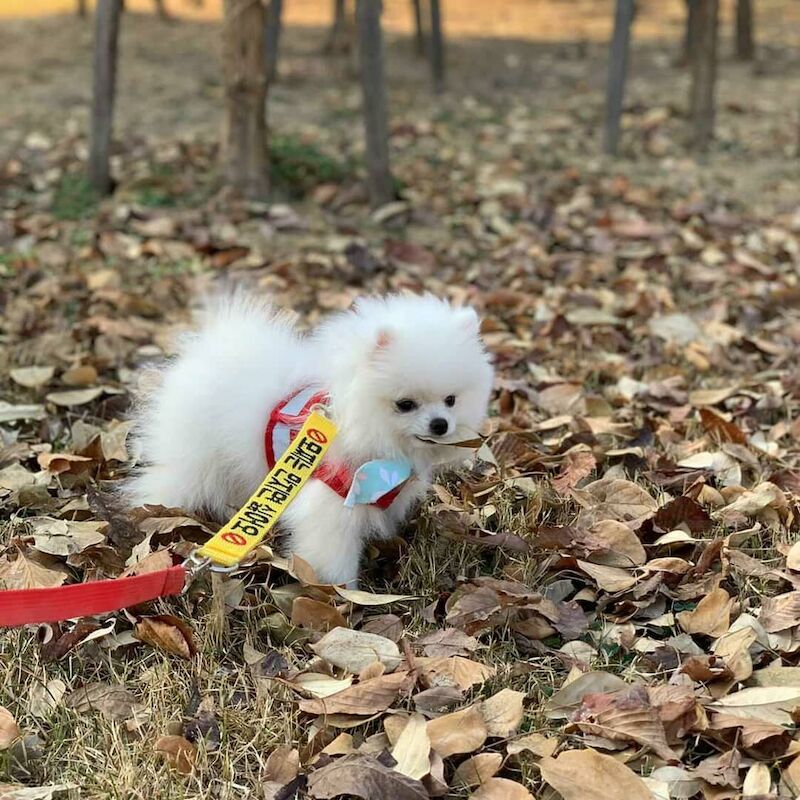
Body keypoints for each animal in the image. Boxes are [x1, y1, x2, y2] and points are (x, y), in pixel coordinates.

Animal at [128, 290, 494, 584]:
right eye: (405, 404)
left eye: (451, 400)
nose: (440, 424)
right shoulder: (330, 501)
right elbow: (331, 550)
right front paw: (341, 591)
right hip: (195, 455)